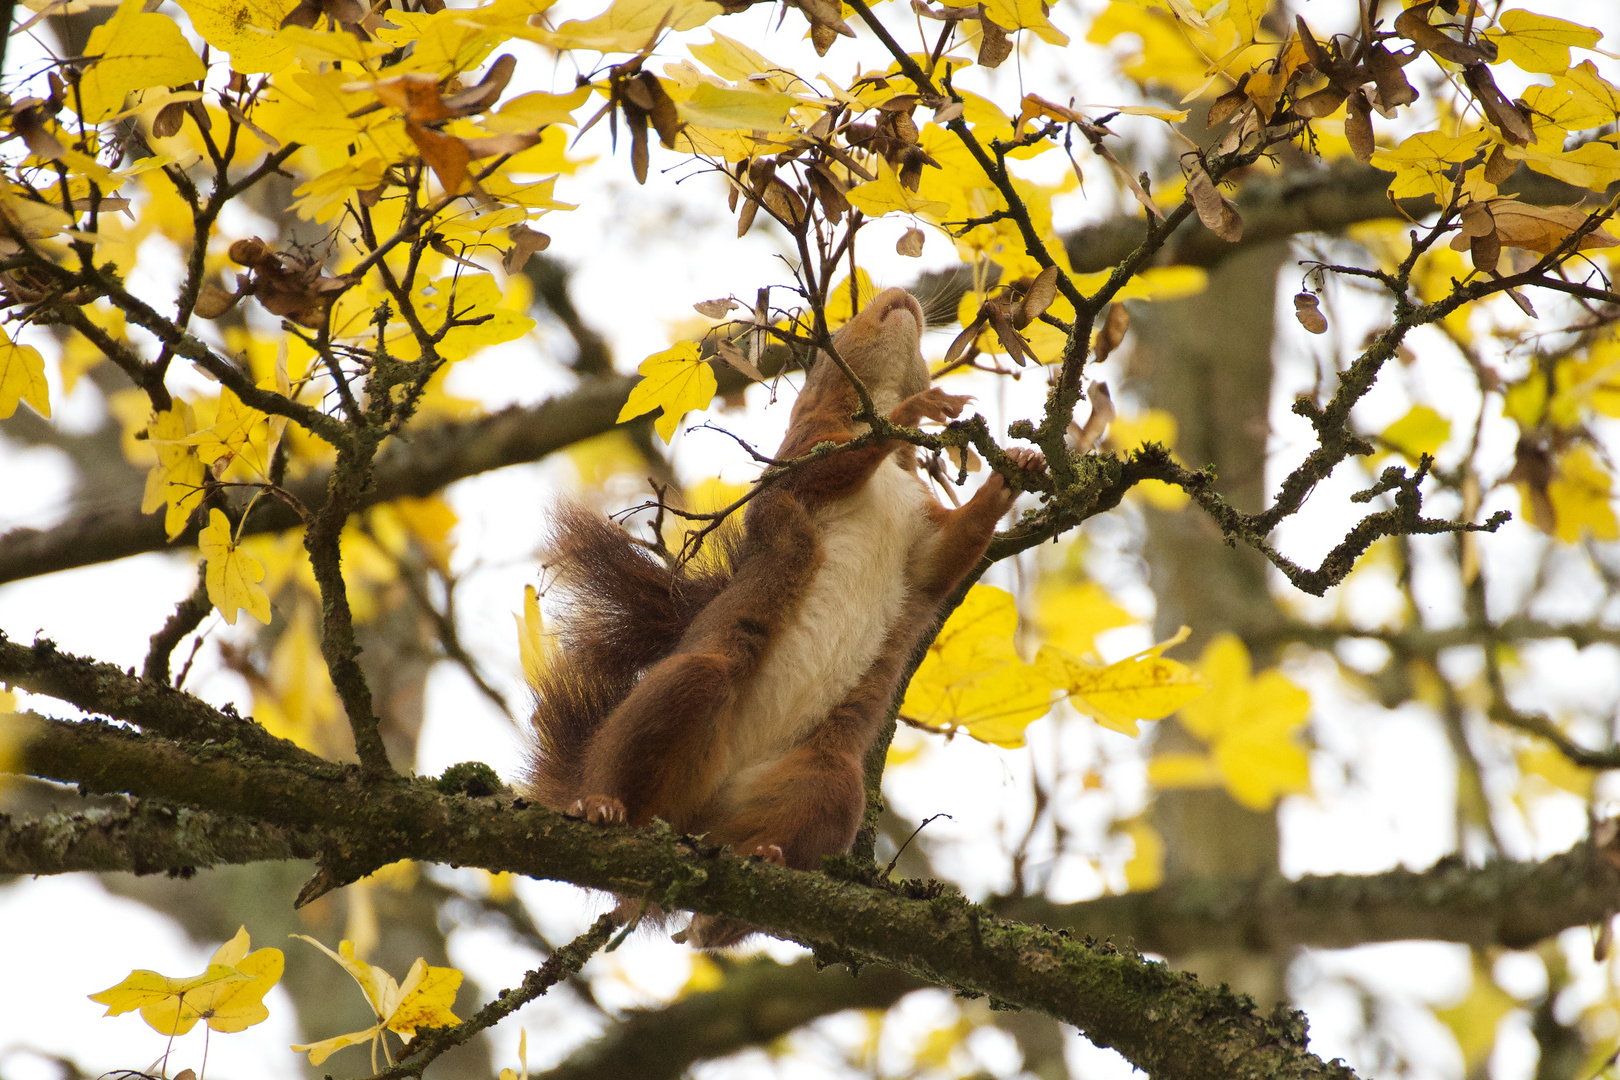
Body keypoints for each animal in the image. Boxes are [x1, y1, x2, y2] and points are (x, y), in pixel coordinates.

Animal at [524, 286, 1043, 945]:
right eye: (839, 331)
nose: (902, 295)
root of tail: (693, 821)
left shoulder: (923, 536)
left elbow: (952, 552)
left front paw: (1014, 470)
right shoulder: (799, 459)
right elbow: (833, 463)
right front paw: (921, 408)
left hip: (828, 782)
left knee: (748, 876)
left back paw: (742, 883)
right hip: (692, 687)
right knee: (655, 743)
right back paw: (604, 807)